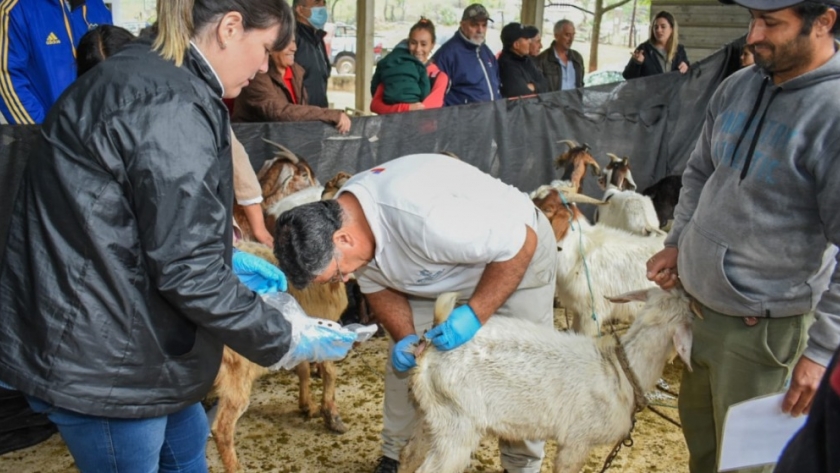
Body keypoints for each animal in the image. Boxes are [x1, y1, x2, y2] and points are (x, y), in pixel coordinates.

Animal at [400, 288, 696, 472]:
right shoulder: (578, 440)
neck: (620, 369)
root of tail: (430, 348)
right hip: (458, 423)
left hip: (432, 416)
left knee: (408, 457)